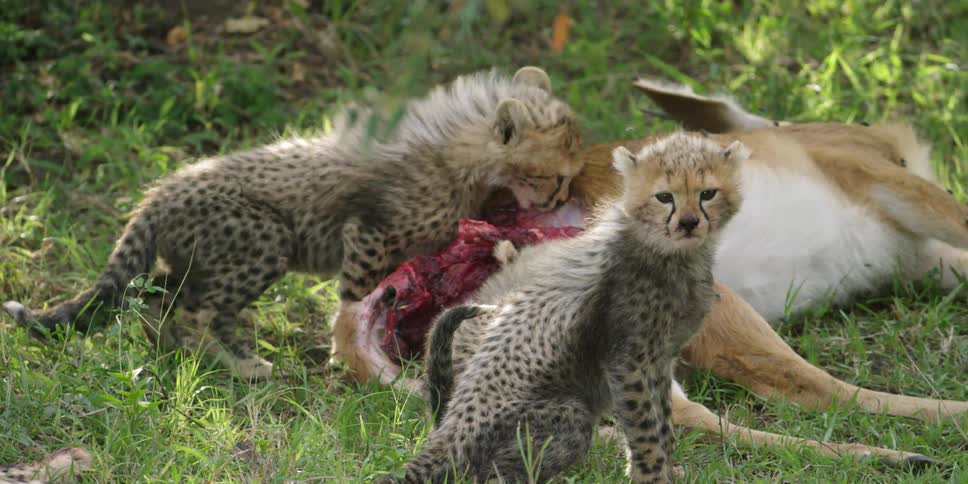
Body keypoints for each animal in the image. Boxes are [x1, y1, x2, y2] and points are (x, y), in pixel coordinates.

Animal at [3, 66, 582, 380]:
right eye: (555, 176)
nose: (564, 197)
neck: (460, 157)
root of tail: (163, 188)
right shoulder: (367, 234)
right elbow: (355, 299)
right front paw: (347, 351)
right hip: (264, 238)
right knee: (197, 311)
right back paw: (237, 365)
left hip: (197, 258)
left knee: (159, 296)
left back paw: (173, 347)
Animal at [381, 131, 747, 483]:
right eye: (664, 197)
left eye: (707, 193)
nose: (688, 222)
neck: (670, 253)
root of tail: (450, 430)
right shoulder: (629, 361)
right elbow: (645, 430)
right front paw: (653, 476)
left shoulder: (660, 360)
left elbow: (664, 423)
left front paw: (668, 468)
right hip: (569, 418)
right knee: (491, 475)